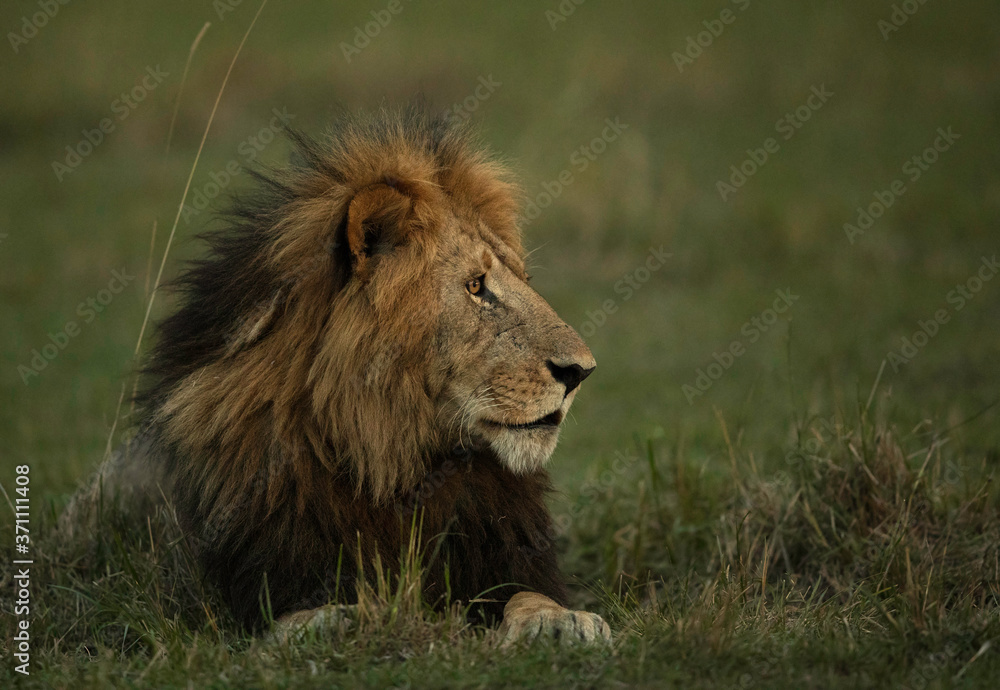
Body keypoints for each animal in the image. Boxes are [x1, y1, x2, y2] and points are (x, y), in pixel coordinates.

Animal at [67, 107, 610, 646]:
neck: (394, 458)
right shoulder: (266, 591)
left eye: (522, 279)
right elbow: (306, 615)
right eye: (476, 286)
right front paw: (355, 620)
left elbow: (528, 594)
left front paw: (564, 621)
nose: (581, 371)